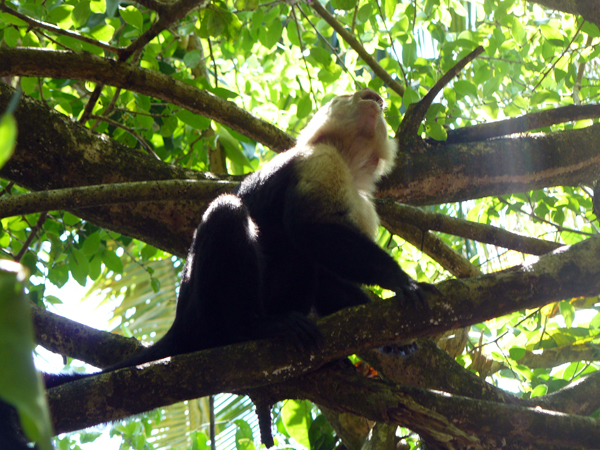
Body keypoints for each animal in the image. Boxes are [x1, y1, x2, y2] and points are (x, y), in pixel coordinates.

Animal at [44, 89, 434, 448]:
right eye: (351, 95)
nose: (374, 97)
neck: (350, 168)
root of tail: (181, 321)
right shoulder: (319, 161)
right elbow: (310, 230)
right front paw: (400, 280)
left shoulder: (365, 205)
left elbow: (328, 275)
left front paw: (395, 339)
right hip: (206, 307)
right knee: (229, 212)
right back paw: (255, 327)